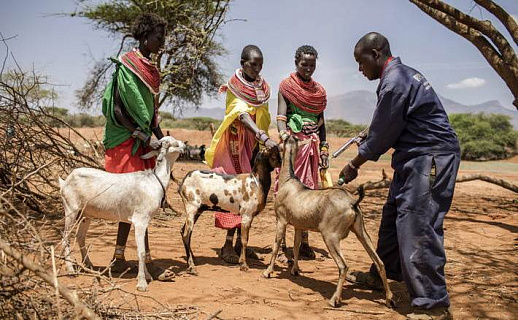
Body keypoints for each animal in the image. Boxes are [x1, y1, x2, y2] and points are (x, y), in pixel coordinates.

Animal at [60, 136, 186, 292]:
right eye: (174, 143)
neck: (153, 181)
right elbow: (141, 252)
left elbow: (142, 248)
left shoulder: (145, 221)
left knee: (80, 236)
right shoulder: (140, 221)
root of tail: (66, 181)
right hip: (71, 209)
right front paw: (142, 283)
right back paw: (70, 269)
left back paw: (89, 265)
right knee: (66, 236)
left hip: (86, 214)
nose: (185, 145)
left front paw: (147, 276)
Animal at [264, 135, 394, 308]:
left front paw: (268, 272)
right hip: (361, 231)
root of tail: (352, 202)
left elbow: (276, 244)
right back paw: (389, 299)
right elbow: (297, 246)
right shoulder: (298, 225)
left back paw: (334, 300)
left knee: (343, 266)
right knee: (380, 262)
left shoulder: (281, 220)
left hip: (330, 236)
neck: (288, 180)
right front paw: (295, 270)